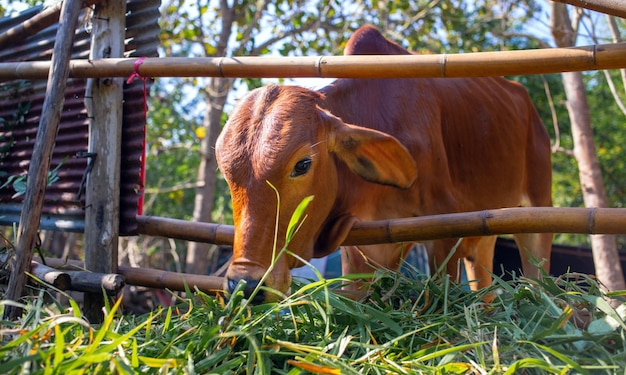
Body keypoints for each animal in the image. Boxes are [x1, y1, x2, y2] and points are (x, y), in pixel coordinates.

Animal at [216, 25, 552, 302]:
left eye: (302, 164)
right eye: (226, 172)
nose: (246, 285)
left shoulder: (446, 227)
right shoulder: (360, 244)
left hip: (536, 209)